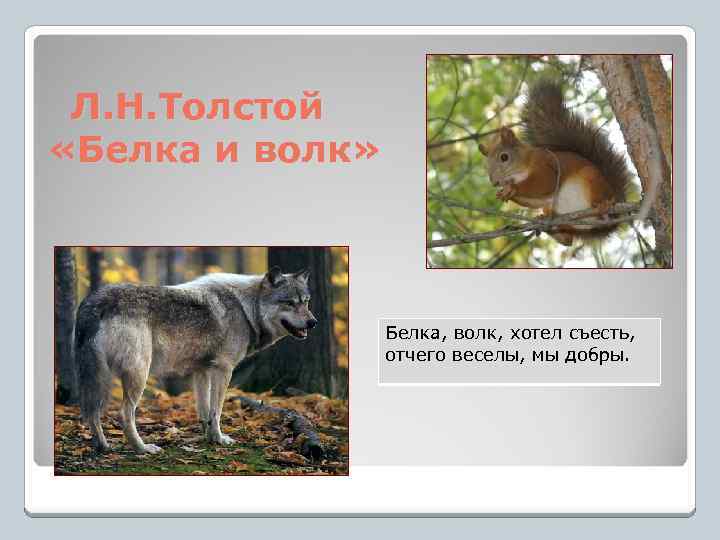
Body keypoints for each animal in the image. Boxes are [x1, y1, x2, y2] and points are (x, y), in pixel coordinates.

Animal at [73, 267, 317, 454]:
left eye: (306, 302)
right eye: (289, 303)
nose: (313, 322)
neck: (247, 309)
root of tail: (93, 302)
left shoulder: (202, 371)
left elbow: (204, 411)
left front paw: (208, 438)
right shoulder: (223, 369)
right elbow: (217, 410)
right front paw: (220, 439)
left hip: (99, 378)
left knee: (91, 412)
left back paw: (103, 446)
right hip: (138, 375)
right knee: (123, 414)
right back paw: (142, 448)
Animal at [478, 79, 632, 246]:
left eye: (504, 157)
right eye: (486, 165)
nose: (494, 182)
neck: (522, 168)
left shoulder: (546, 164)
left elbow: (545, 183)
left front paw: (512, 189)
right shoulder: (543, 199)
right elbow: (538, 199)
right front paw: (505, 192)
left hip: (594, 180)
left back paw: (604, 206)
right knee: (568, 240)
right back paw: (548, 224)